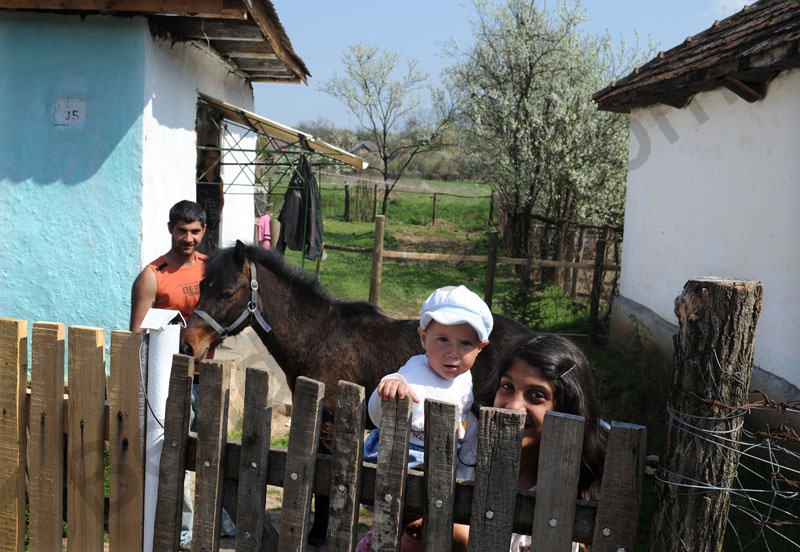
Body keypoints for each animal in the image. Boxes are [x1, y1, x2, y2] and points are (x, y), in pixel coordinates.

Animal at [178, 240, 536, 544]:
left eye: (227, 293)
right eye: (202, 288)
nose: (188, 344)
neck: (319, 336)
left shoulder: (330, 421)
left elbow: (324, 483)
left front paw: (318, 535)